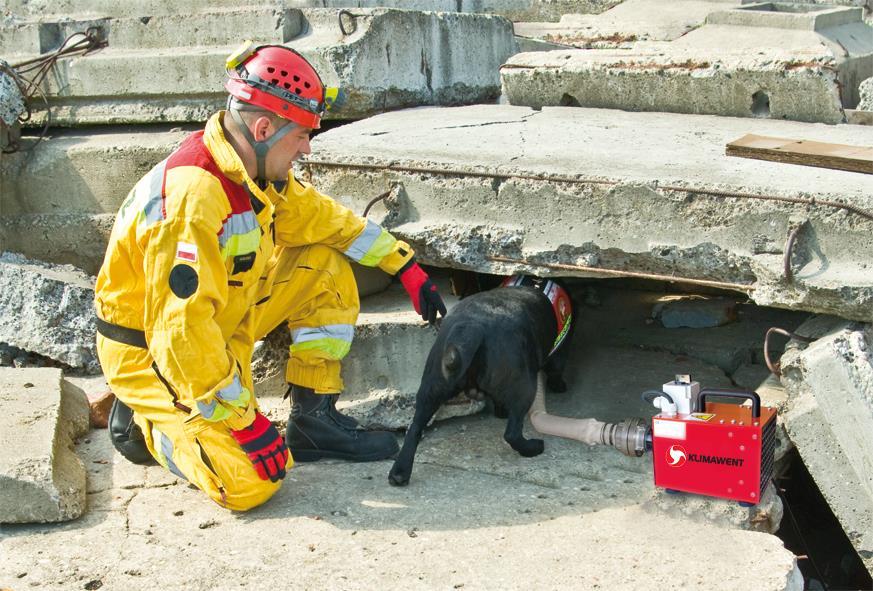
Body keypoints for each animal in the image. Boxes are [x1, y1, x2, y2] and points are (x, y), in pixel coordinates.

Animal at [388, 276, 572, 488]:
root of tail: (471, 328)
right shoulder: (559, 352)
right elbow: (557, 370)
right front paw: (559, 385)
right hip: (525, 387)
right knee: (512, 433)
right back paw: (532, 447)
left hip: (431, 387)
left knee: (414, 428)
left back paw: (399, 472)